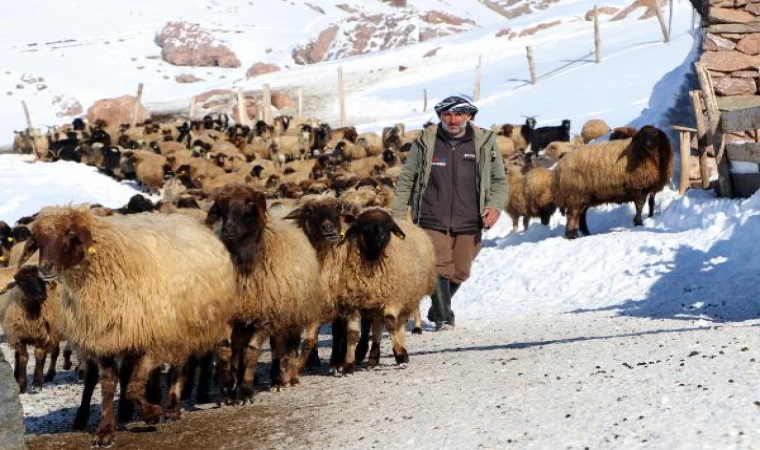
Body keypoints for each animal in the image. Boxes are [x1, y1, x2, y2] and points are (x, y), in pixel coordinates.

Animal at [24, 207, 235, 446]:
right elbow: (109, 385)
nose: (45, 269)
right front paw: (106, 431)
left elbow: (134, 385)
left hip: (195, 323)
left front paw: (152, 414)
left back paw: (186, 404)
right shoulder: (106, 339)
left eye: (70, 233)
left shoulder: (150, 338)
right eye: (38, 239)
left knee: (191, 362)